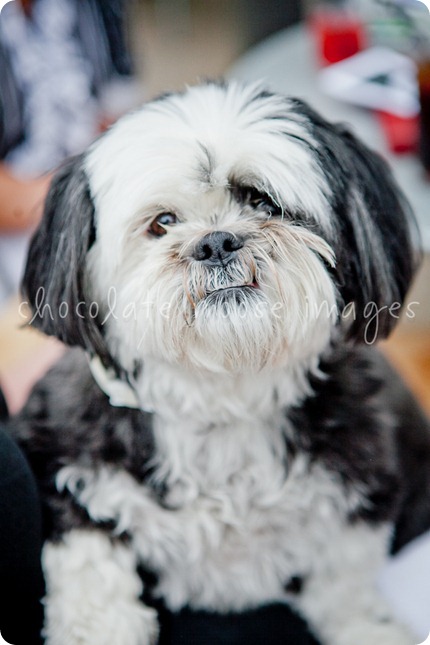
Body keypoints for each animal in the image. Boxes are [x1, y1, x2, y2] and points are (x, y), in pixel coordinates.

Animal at [9, 82, 430, 644]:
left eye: (263, 201)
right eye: (162, 223)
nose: (215, 242)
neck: (223, 397)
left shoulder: (360, 481)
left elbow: (343, 581)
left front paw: (366, 625)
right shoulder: (64, 463)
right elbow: (91, 571)